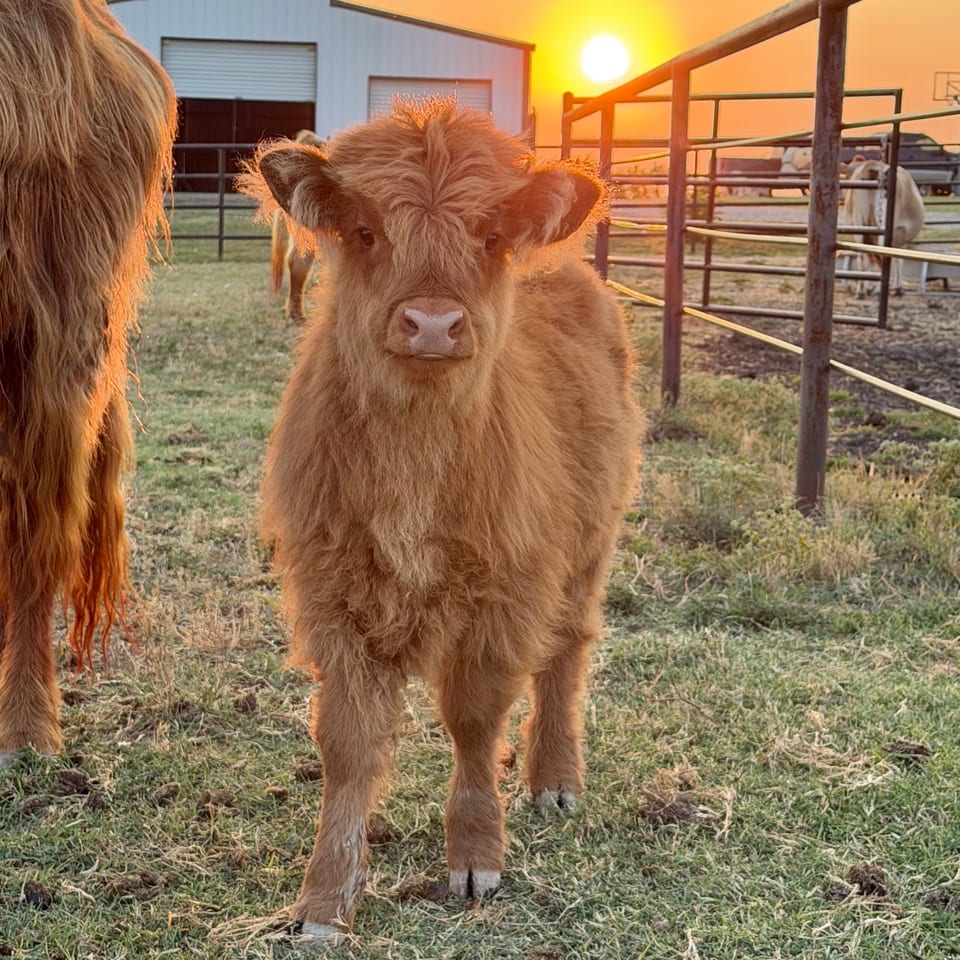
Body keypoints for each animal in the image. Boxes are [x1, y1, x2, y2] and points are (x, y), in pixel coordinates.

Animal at [840, 160, 925, 297]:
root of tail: (873, 165)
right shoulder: (900, 237)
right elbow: (898, 261)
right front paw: (897, 288)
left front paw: (869, 286)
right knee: (881, 254)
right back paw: (878, 290)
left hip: (859, 226)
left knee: (863, 256)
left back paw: (861, 291)